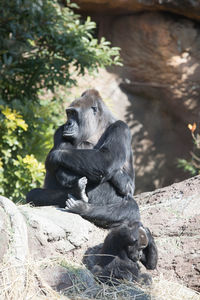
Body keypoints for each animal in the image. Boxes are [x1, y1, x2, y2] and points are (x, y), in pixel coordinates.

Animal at [26, 89, 139, 230]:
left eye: (74, 113)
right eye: (69, 114)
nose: (68, 123)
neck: (97, 126)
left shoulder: (121, 127)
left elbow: (108, 160)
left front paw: (55, 156)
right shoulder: (60, 130)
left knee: (131, 208)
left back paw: (84, 208)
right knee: (33, 194)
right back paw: (78, 193)